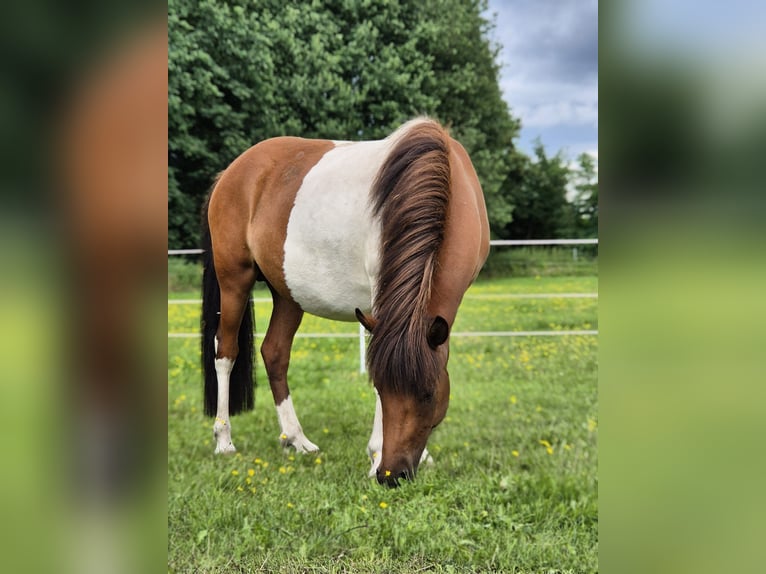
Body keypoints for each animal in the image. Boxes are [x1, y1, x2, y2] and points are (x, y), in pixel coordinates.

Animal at [200, 117, 489, 487]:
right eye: (380, 387)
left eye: (428, 394)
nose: (391, 475)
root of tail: (231, 172)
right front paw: (376, 452)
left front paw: (422, 455)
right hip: (234, 280)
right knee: (226, 352)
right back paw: (224, 440)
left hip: (288, 293)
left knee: (274, 353)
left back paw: (297, 440)